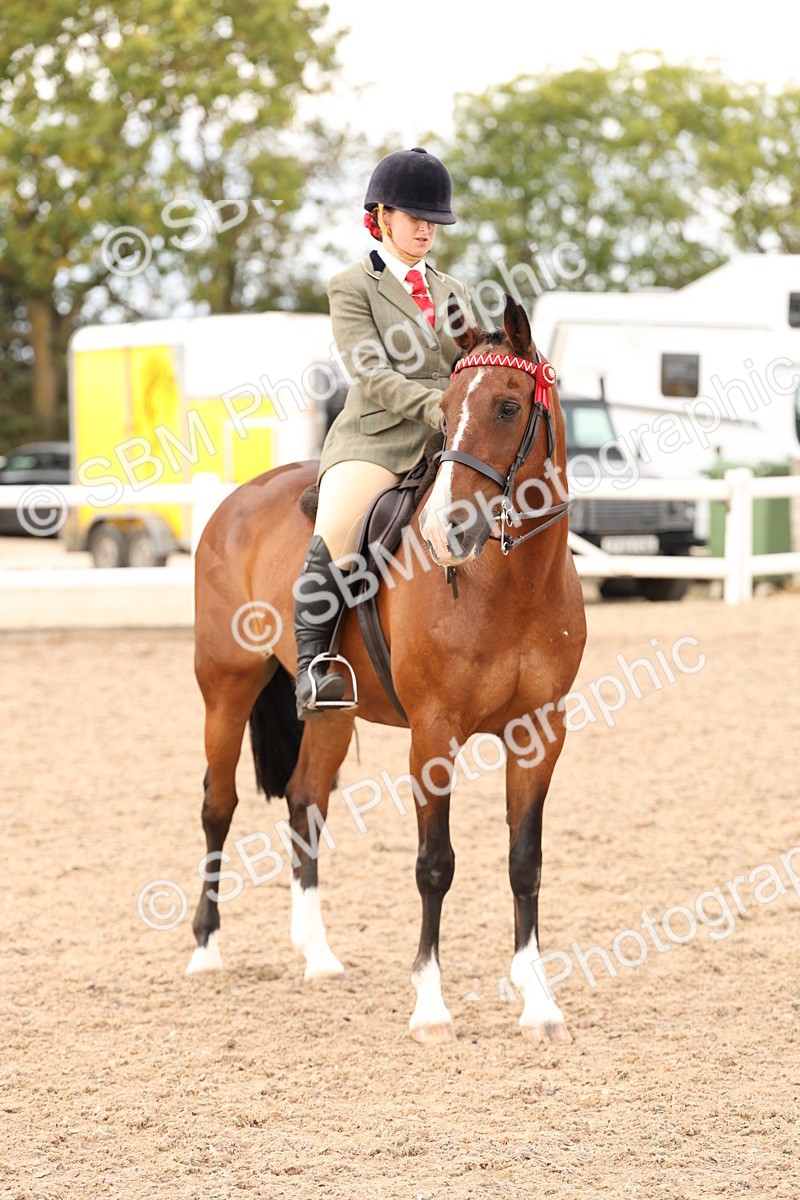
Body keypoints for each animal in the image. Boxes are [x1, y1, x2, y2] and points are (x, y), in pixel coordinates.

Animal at [188, 292, 587, 1043]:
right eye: (447, 406)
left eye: (507, 407)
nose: (445, 533)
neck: (511, 582)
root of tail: (239, 497)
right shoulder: (434, 733)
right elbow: (435, 865)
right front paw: (430, 1006)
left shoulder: (539, 733)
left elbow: (525, 863)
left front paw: (540, 1003)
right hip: (225, 688)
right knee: (217, 806)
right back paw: (205, 948)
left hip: (331, 712)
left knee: (305, 801)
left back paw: (317, 956)